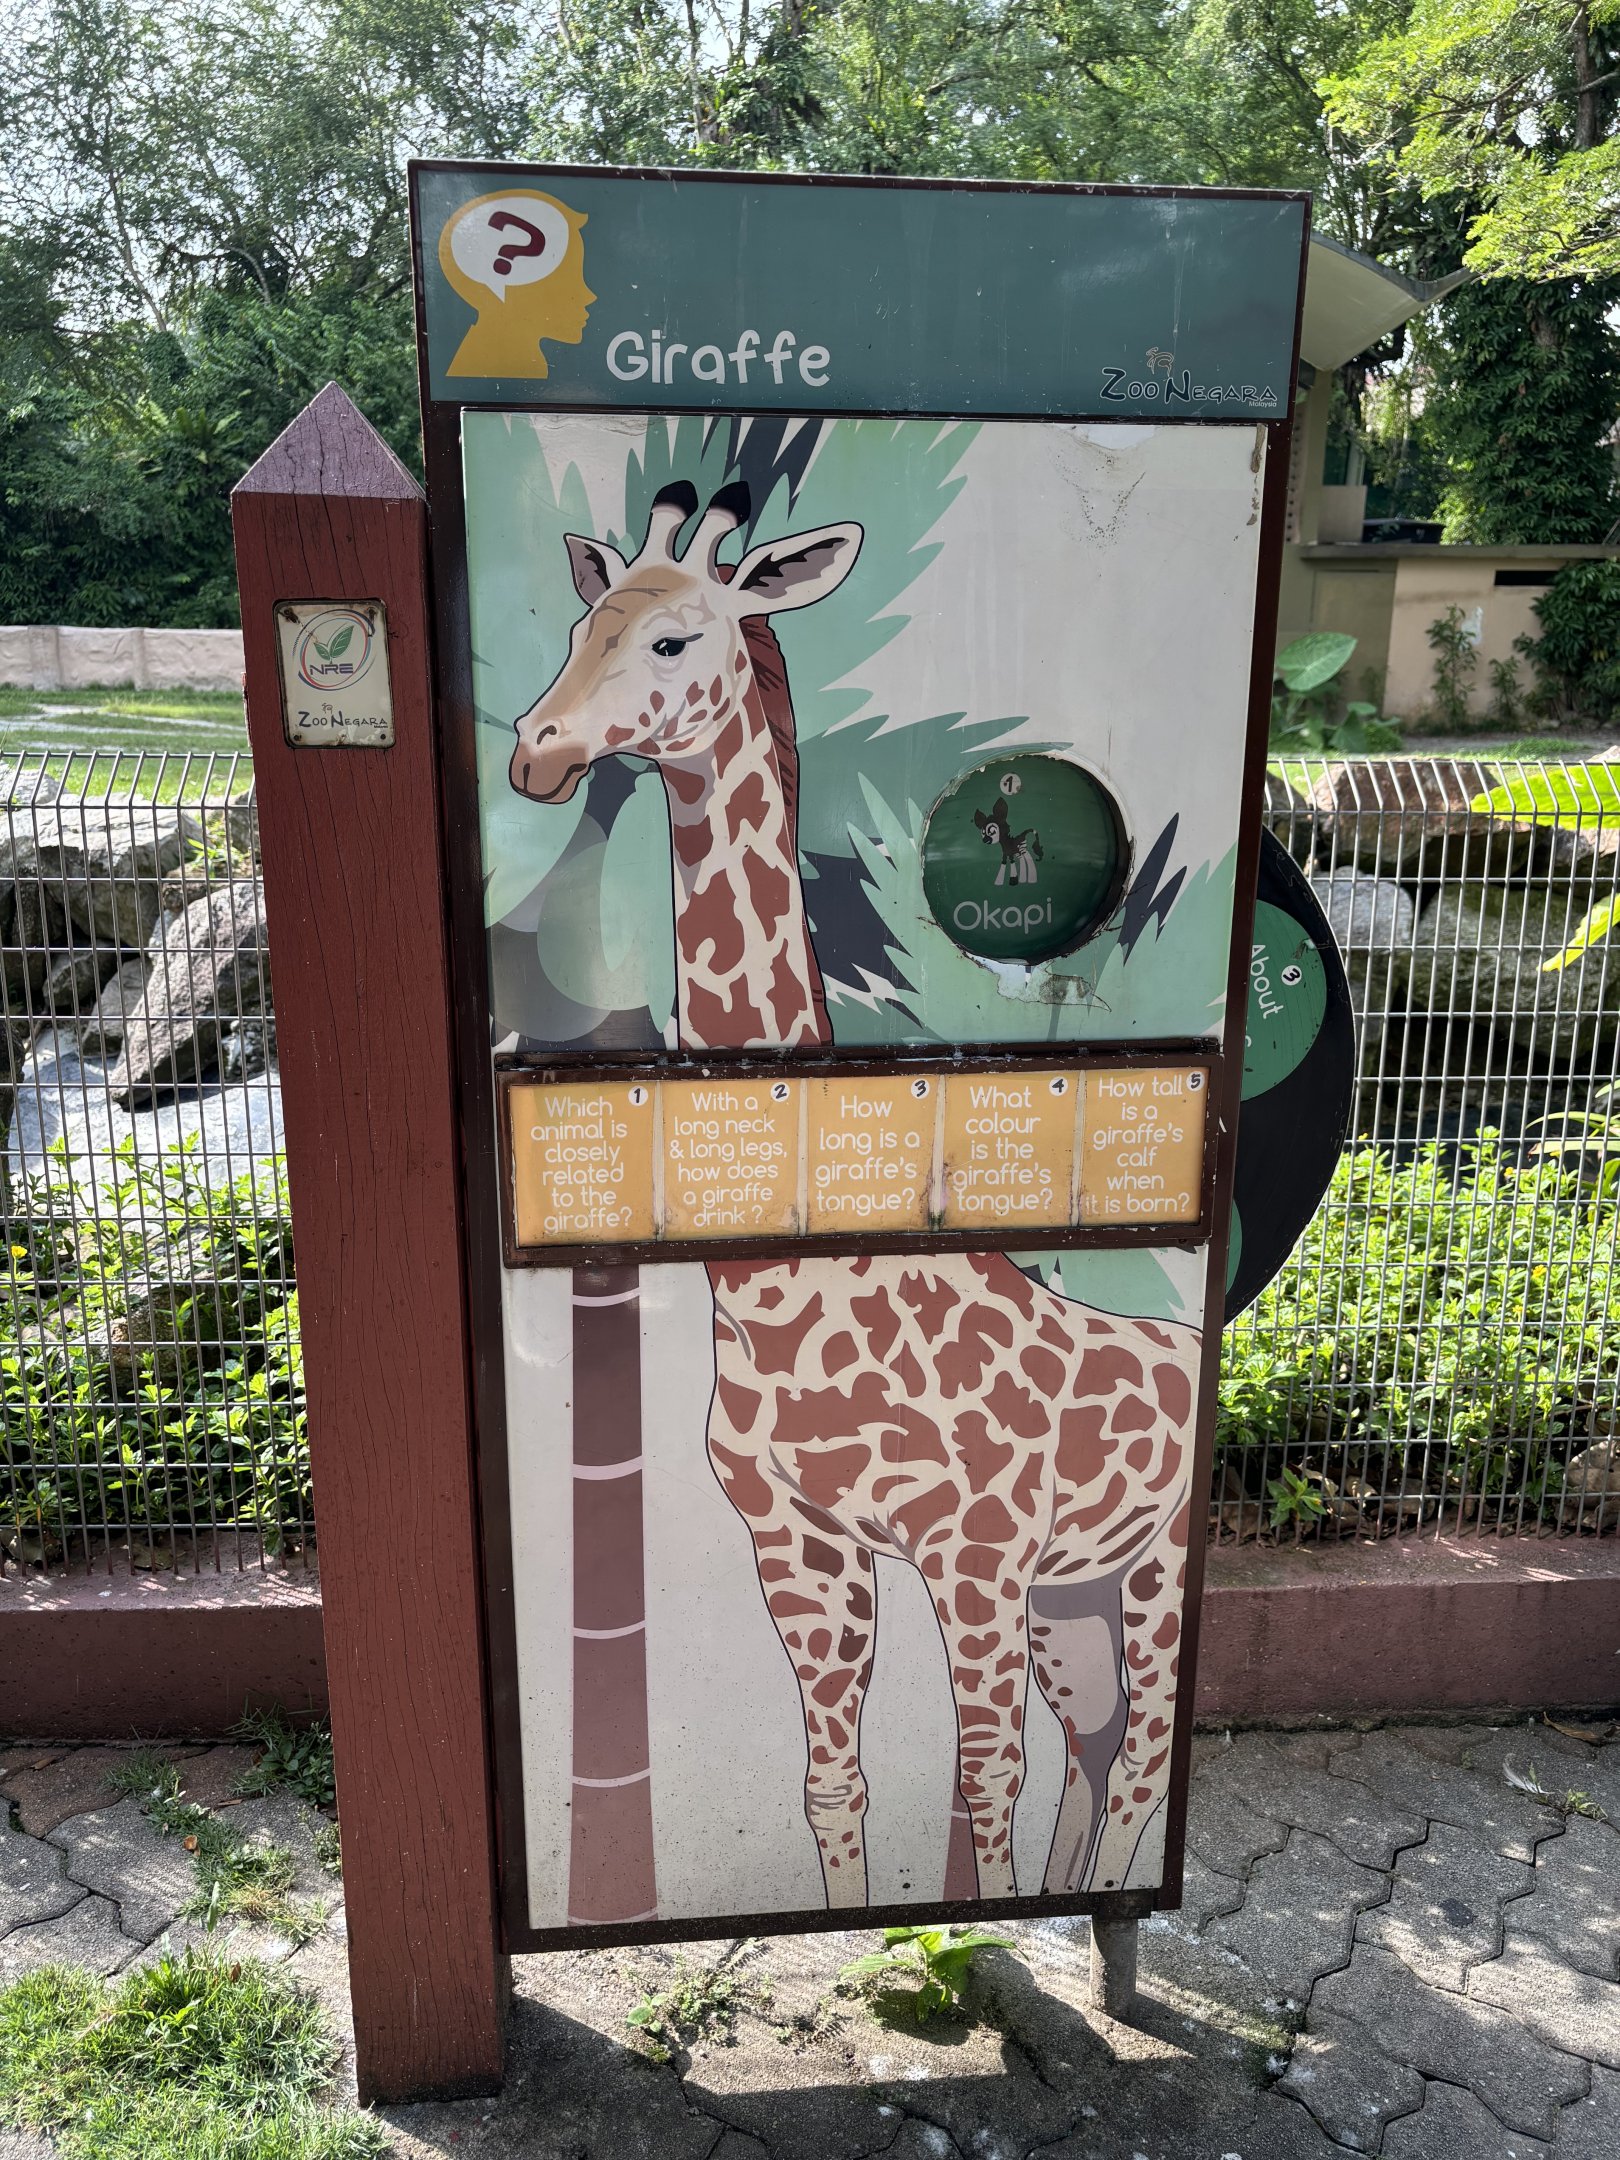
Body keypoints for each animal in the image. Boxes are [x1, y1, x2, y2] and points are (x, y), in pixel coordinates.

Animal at [510, 478, 1202, 1906]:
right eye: (579, 624)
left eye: (673, 639)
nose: (535, 754)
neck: (787, 1279)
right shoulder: (799, 1545)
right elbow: (834, 1782)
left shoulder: (975, 1554)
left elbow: (980, 1781)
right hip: (1076, 1597)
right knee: (1098, 1749)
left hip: (1151, 1567)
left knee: (1143, 1756)